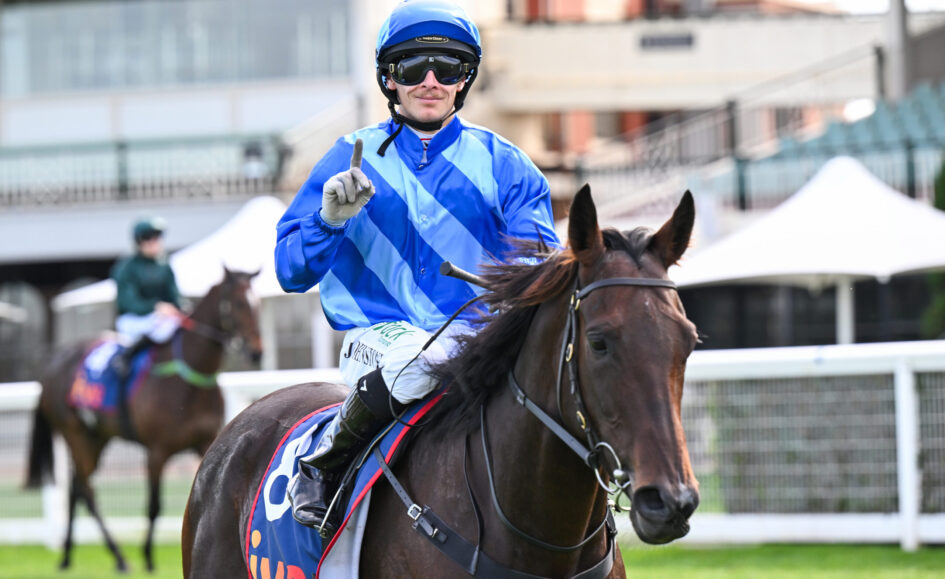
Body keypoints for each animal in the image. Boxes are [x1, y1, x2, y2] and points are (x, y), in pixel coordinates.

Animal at [26, 267, 263, 572]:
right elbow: (154, 505)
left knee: (76, 489)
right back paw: (118, 557)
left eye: (257, 303)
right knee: (87, 493)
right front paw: (149, 557)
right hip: (75, 433)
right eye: (239, 303)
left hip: (96, 437)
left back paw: (67, 555)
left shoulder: (206, 443)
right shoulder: (156, 450)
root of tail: (52, 366)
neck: (187, 379)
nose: (257, 351)